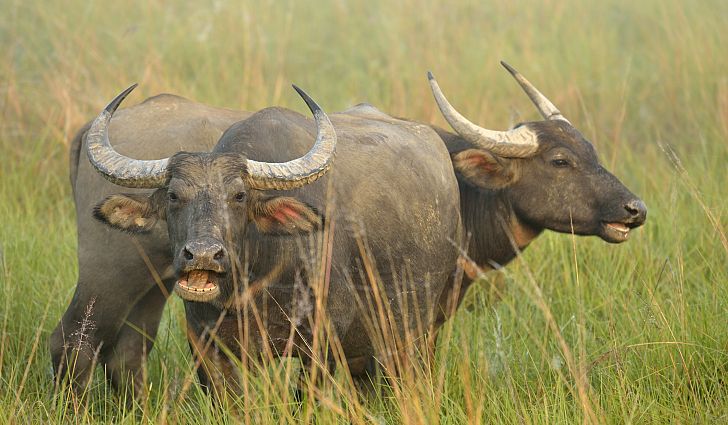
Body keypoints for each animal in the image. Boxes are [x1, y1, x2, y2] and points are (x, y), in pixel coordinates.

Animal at [51, 84, 460, 396]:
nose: (203, 255)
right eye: (173, 195)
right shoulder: (208, 346)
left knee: (126, 349)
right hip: (109, 273)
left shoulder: (323, 345)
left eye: (239, 196)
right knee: (75, 341)